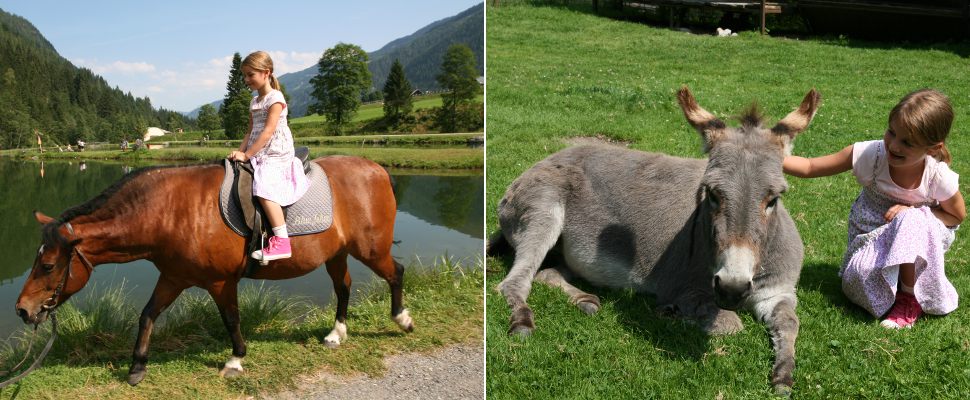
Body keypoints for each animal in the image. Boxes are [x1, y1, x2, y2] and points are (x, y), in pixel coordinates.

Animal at [13, 155, 410, 384]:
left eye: (47, 265)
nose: (22, 310)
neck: (171, 211)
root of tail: (376, 168)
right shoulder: (173, 277)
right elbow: (147, 314)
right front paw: (138, 366)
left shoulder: (220, 282)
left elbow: (231, 319)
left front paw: (235, 360)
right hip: (337, 253)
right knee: (343, 287)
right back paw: (336, 332)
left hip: (370, 249)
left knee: (396, 273)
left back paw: (402, 318)